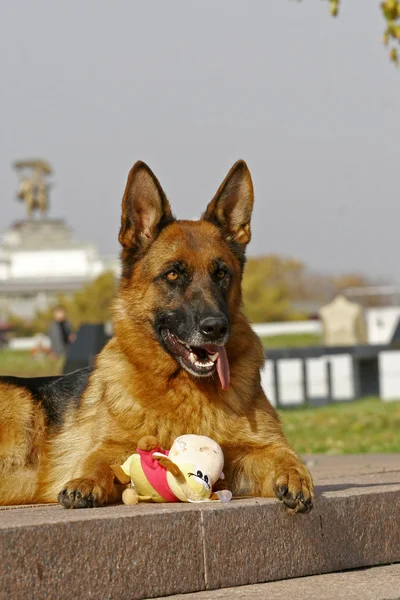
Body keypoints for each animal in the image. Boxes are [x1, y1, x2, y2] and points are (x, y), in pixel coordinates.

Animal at [0, 162, 312, 512]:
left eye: (222, 274)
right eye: (173, 274)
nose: (216, 327)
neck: (185, 388)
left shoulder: (255, 449)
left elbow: (285, 454)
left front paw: (296, 476)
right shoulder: (112, 446)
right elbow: (98, 460)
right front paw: (85, 481)